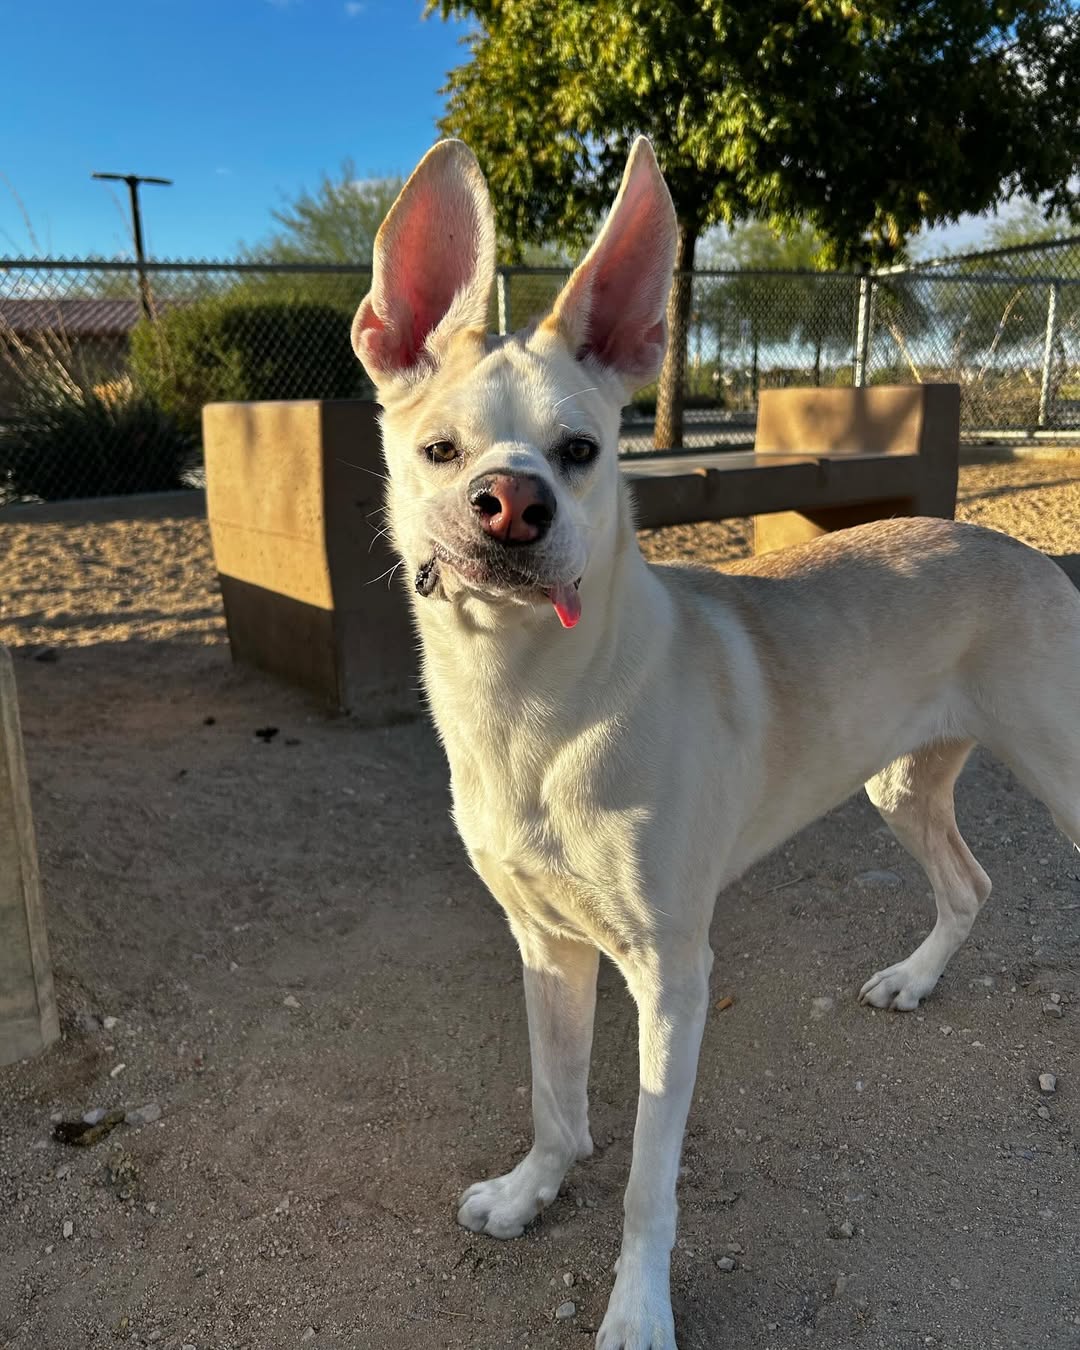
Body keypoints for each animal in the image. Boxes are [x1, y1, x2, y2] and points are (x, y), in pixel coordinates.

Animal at [353, 139, 1080, 1350]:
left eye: (584, 449)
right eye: (439, 450)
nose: (511, 504)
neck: (534, 710)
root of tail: (1019, 547)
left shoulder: (673, 973)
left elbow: (650, 1180)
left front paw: (638, 1309)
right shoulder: (543, 942)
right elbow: (554, 1099)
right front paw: (529, 1192)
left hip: (1062, 775)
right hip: (900, 782)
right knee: (969, 883)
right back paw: (914, 980)